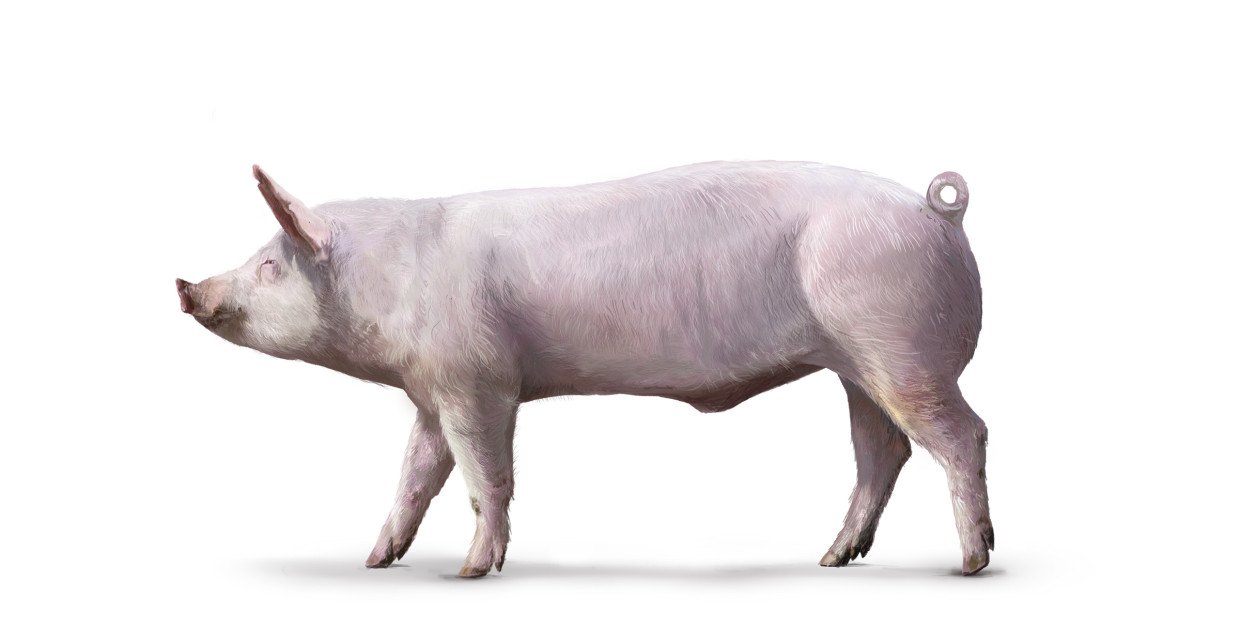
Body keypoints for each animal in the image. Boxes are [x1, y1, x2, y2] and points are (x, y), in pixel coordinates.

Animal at [176, 161, 993, 577]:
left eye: (270, 264)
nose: (186, 286)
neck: (387, 283)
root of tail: (939, 212)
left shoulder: (480, 381)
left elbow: (486, 477)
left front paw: (471, 572)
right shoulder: (431, 391)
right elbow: (414, 478)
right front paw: (377, 562)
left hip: (902, 348)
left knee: (964, 436)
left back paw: (969, 562)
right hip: (856, 365)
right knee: (882, 450)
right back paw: (833, 559)